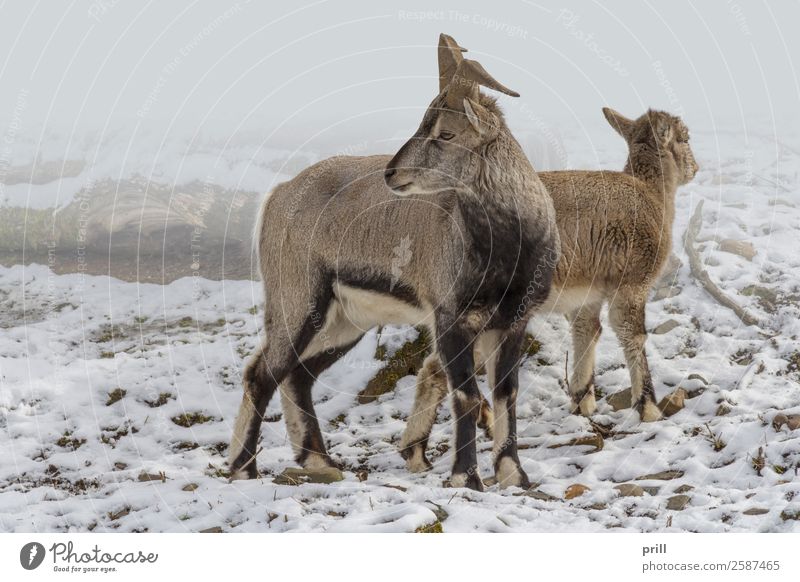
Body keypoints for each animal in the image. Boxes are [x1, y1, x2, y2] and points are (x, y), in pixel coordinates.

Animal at [228, 35, 560, 492]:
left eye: (445, 133)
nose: (392, 174)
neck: (508, 246)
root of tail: (279, 194)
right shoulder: (450, 319)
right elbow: (467, 395)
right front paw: (465, 477)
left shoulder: (512, 322)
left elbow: (505, 394)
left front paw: (514, 475)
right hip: (298, 304)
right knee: (262, 372)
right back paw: (244, 467)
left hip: (343, 322)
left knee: (297, 375)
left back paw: (318, 462)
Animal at [404, 108, 696, 474]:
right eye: (685, 137)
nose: (695, 168)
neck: (652, 194)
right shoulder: (632, 282)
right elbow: (632, 336)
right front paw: (649, 408)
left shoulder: (587, 295)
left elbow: (588, 333)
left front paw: (583, 403)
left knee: (433, 367)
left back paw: (415, 451)